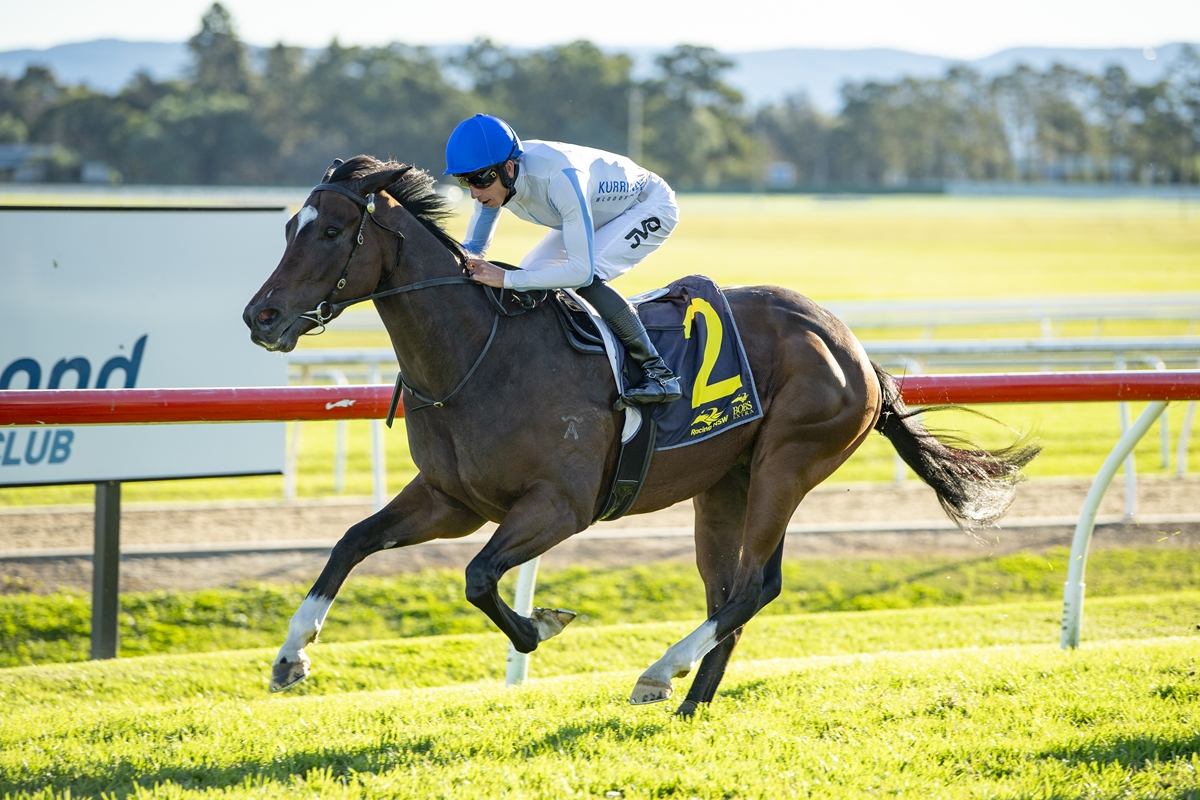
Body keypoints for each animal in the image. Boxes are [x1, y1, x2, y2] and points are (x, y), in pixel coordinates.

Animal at [243, 156, 1038, 716]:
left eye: (332, 232)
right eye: (286, 229)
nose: (261, 317)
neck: (480, 356)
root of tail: (851, 344)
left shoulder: (559, 506)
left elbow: (479, 578)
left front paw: (542, 625)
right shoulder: (452, 500)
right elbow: (352, 541)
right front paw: (291, 656)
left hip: (788, 462)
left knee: (757, 585)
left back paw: (660, 675)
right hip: (727, 483)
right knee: (730, 591)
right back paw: (691, 700)